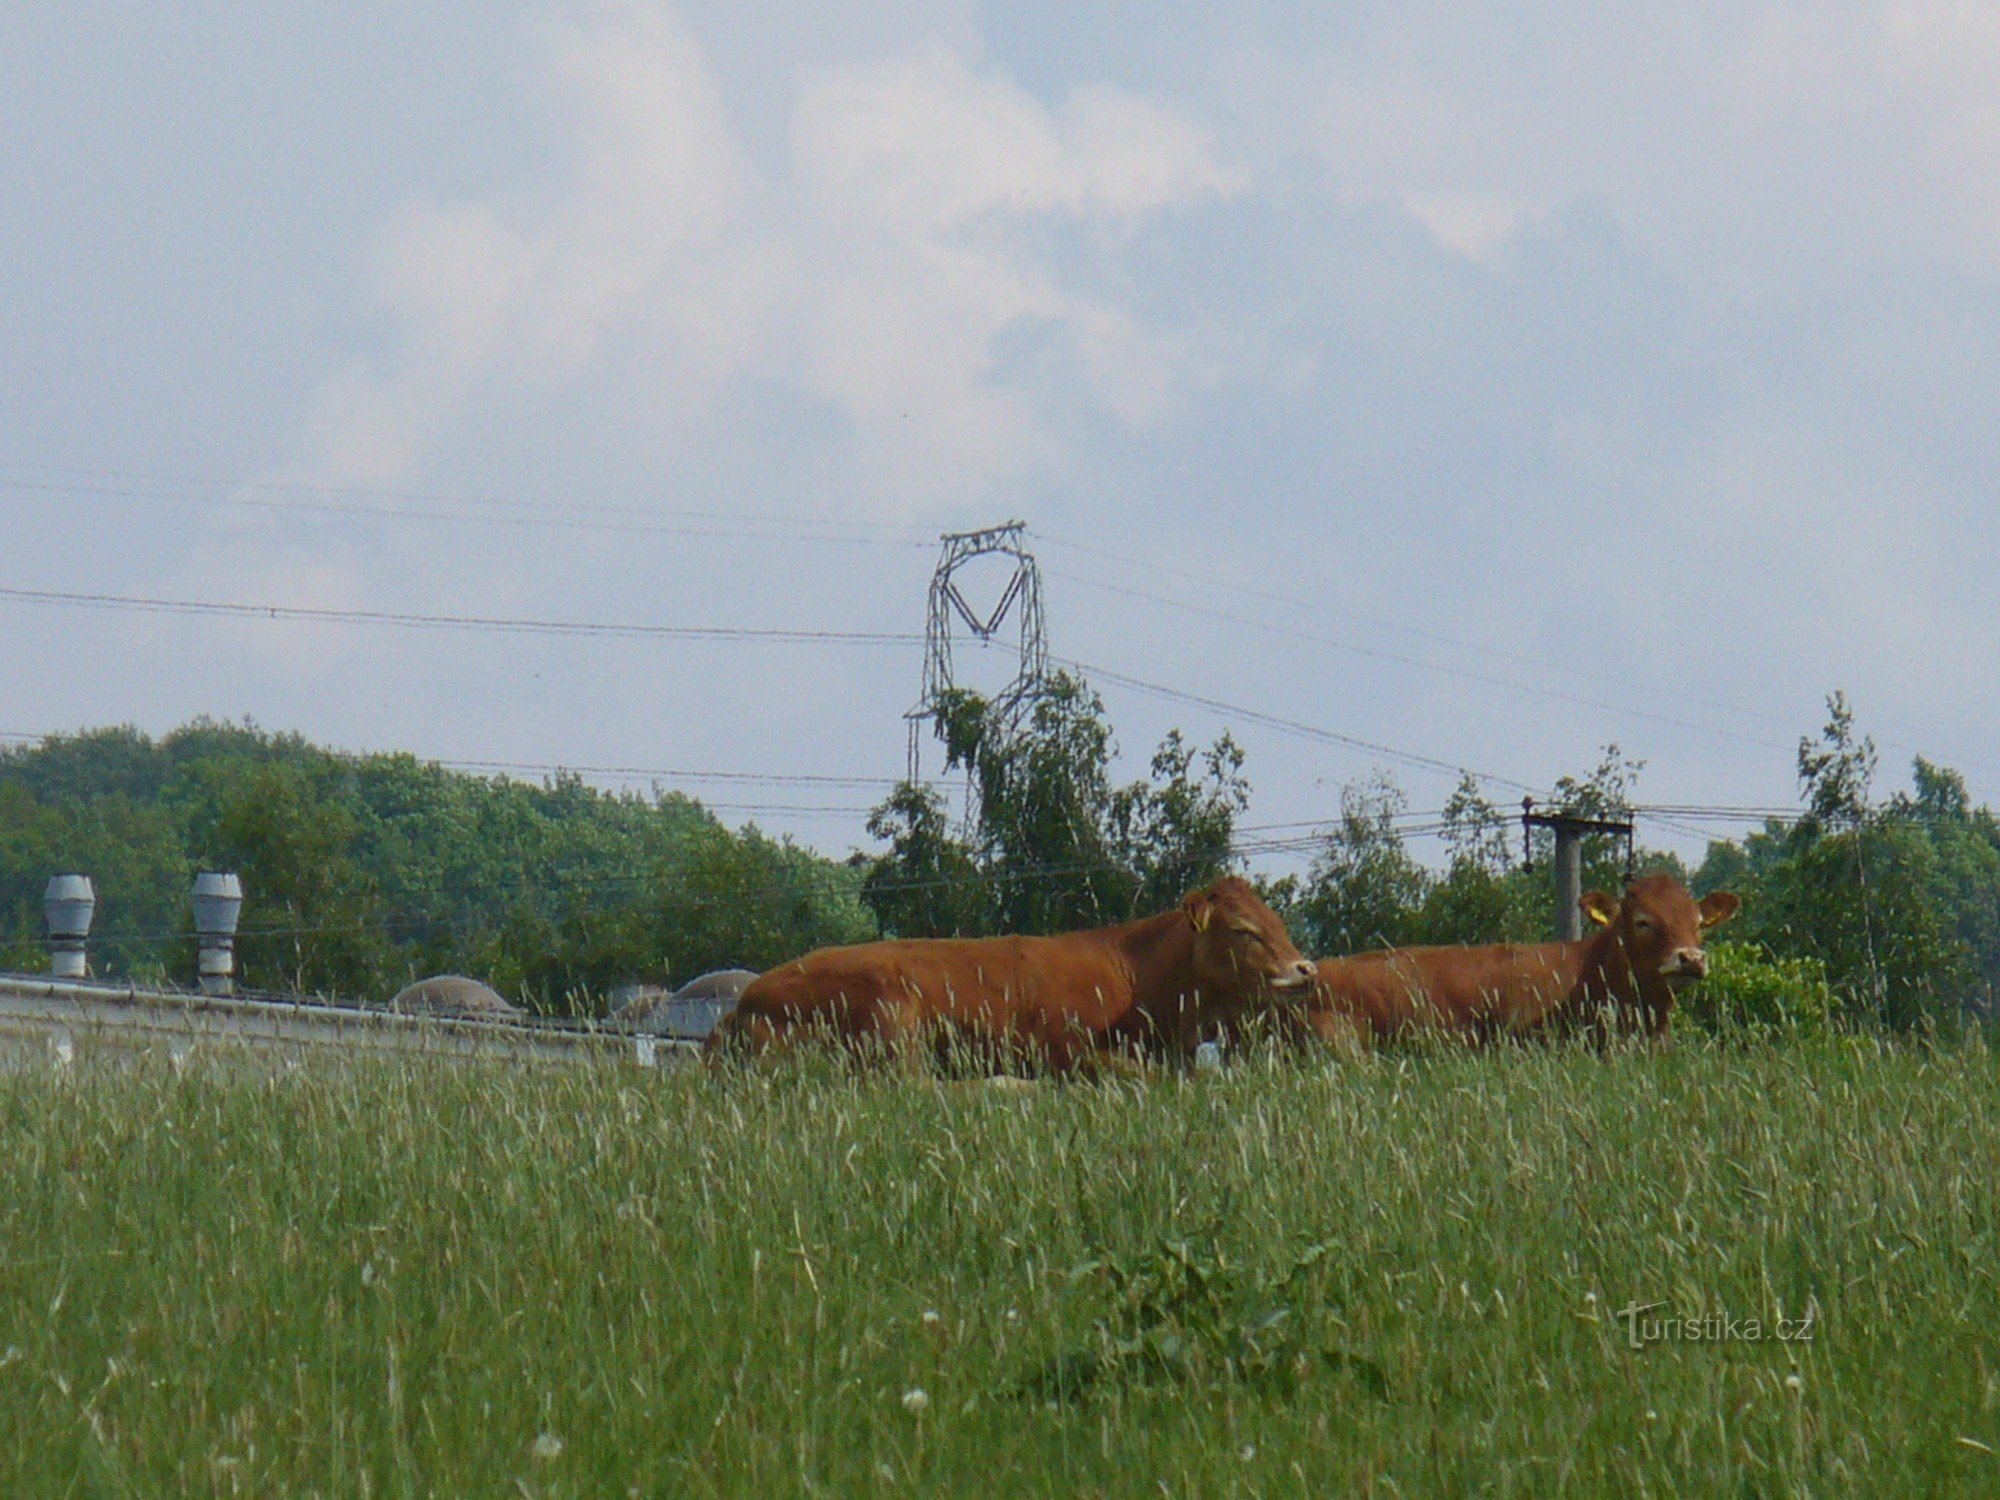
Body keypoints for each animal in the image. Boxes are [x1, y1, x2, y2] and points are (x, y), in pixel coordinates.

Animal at [700, 876, 1312, 1072]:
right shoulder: (1068, 1049)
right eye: (1244, 931)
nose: (1305, 969)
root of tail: (747, 999)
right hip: (893, 1022)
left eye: (1276, 921)